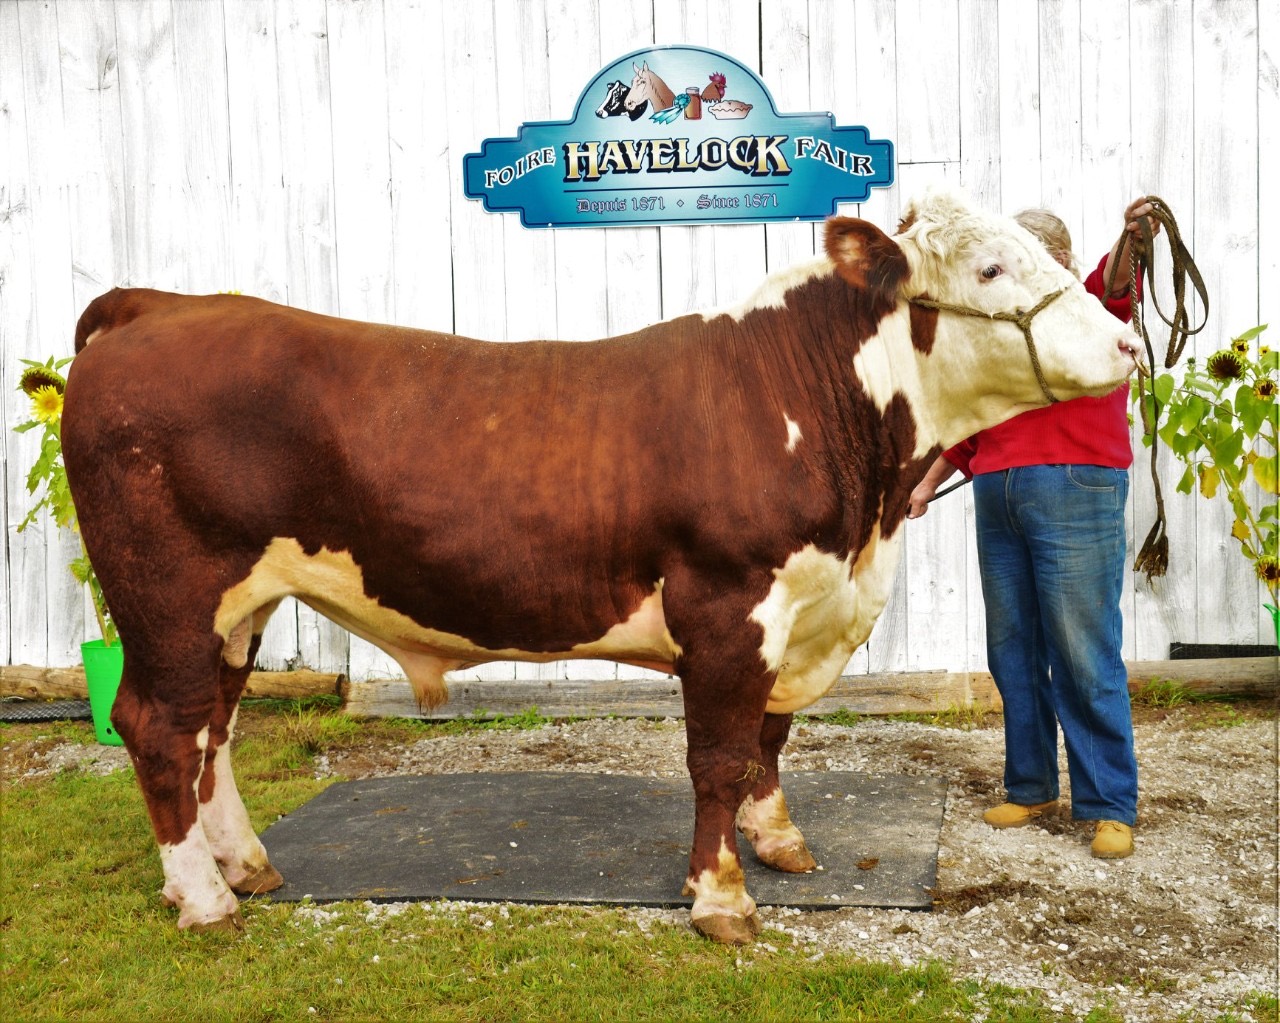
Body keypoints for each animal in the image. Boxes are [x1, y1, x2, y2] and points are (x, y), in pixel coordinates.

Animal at [61, 189, 1142, 945]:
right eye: (993, 267)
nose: (1132, 341)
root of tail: (155, 307)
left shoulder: (797, 609)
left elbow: (769, 739)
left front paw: (779, 843)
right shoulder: (727, 604)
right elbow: (718, 755)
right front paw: (719, 899)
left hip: (237, 608)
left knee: (213, 729)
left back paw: (245, 865)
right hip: (166, 593)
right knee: (159, 728)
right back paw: (203, 898)